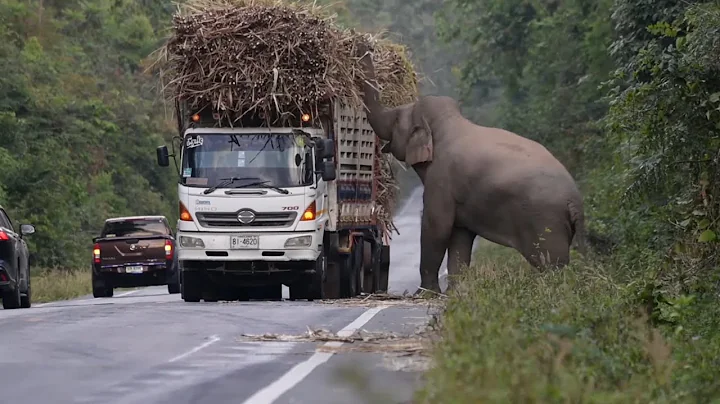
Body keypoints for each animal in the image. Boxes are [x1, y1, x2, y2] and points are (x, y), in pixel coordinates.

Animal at [355, 43, 586, 295]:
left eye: (396, 119)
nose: (364, 46)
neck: (449, 121)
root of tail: (575, 201)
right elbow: (460, 235)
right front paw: (456, 293)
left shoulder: (441, 179)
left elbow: (436, 226)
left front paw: (425, 294)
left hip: (545, 221)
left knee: (551, 264)